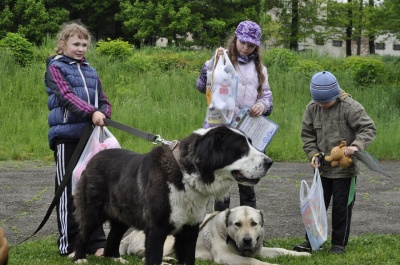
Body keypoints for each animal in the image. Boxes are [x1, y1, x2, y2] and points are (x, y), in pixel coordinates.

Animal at [72, 125, 272, 262]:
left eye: (250, 143)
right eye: (241, 148)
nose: (269, 162)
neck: (186, 173)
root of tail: (94, 158)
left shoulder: (190, 231)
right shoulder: (156, 230)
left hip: (123, 215)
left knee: (114, 236)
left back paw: (115, 258)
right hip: (92, 212)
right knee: (83, 233)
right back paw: (79, 258)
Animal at [120, 205, 310, 262]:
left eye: (254, 223)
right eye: (237, 224)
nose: (247, 240)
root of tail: (129, 235)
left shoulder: (259, 249)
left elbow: (280, 250)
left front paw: (302, 254)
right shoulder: (226, 257)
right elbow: (254, 262)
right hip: (166, 239)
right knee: (145, 257)